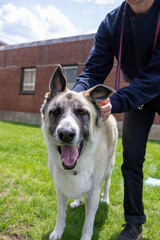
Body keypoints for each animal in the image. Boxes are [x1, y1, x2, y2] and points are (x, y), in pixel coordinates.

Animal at [41, 65, 117, 240]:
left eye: (82, 112)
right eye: (55, 111)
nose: (66, 134)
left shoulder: (93, 194)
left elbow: (88, 224)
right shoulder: (60, 189)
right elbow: (61, 214)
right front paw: (57, 232)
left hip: (109, 167)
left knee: (107, 183)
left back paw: (105, 198)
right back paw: (77, 201)